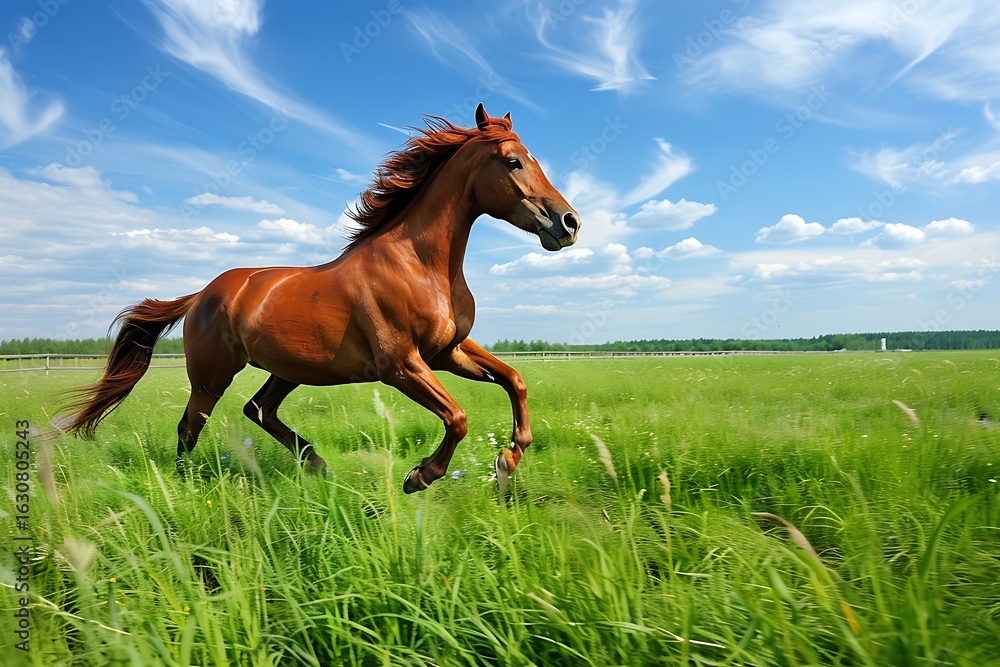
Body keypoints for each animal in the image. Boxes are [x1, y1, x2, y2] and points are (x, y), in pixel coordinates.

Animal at [64, 104, 581, 493]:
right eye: (514, 162)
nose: (569, 222)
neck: (419, 264)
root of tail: (203, 294)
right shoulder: (401, 364)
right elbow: (457, 417)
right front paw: (419, 477)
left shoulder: (446, 352)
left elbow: (515, 381)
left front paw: (508, 461)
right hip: (212, 377)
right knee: (190, 427)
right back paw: (187, 484)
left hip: (288, 369)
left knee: (258, 409)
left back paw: (318, 465)